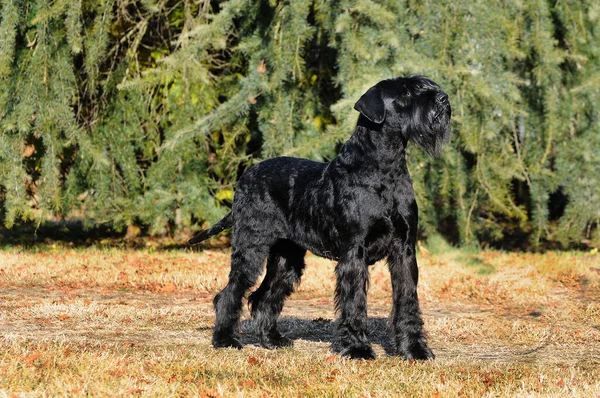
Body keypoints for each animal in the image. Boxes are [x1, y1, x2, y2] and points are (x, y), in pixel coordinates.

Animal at [191, 74, 450, 360]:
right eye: (404, 94)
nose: (443, 98)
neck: (385, 168)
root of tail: (244, 178)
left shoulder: (404, 249)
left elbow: (407, 300)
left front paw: (414, 349)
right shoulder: (354, 253)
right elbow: (355, 302)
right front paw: (358, 349)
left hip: (287, 259)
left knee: (263, 297)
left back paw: (272, 340)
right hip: (251, 247)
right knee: (230, 292)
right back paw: (225, 339)